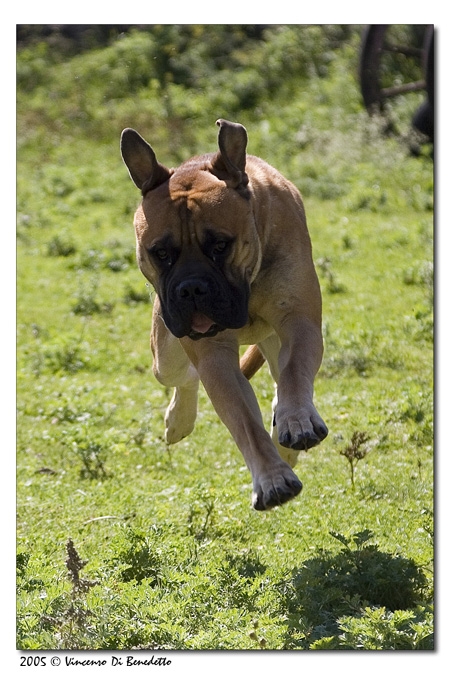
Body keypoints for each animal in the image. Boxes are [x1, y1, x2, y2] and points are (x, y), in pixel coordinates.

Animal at [121, 119, 328, 510]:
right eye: (161, 253)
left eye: (220, 245)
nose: (191, 288)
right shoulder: (214, 356)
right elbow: (245, 421)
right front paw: (273, 479)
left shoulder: (299, 321)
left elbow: (295, 373)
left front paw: (296, 420)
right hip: (165, 353)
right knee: (185, 376)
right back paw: (178, 420)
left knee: (281, 374)